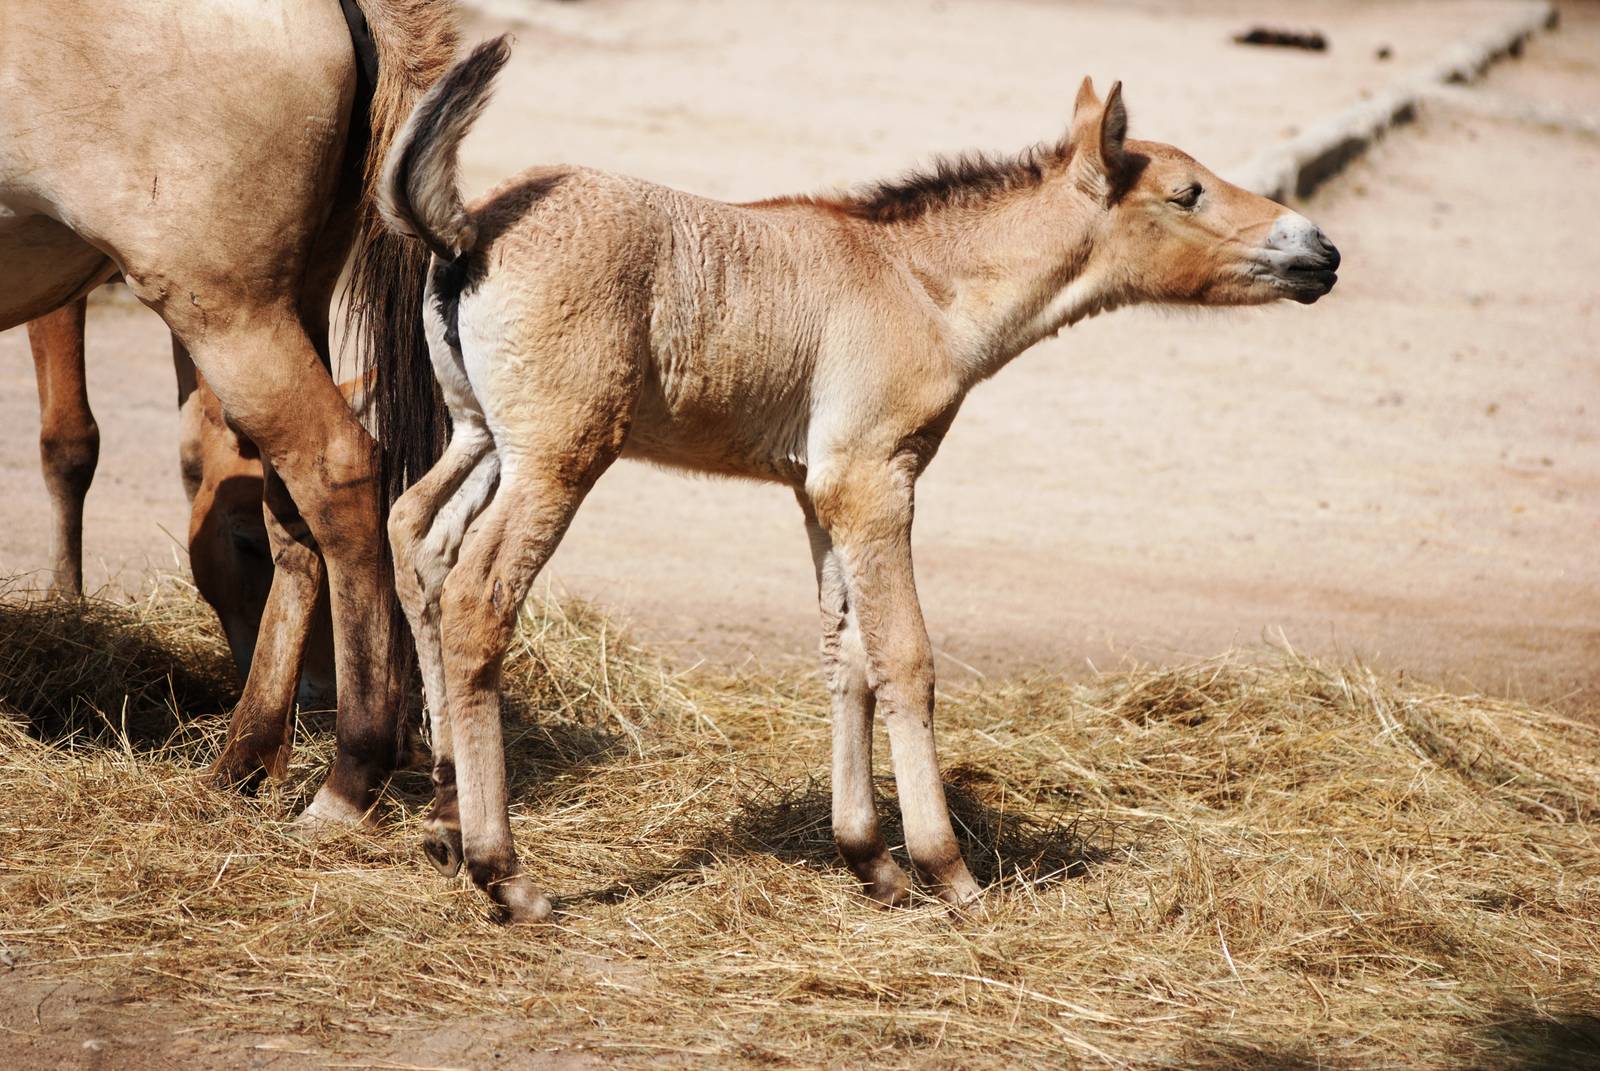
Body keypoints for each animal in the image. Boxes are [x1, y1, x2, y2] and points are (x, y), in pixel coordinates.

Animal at [0, 0, 456, 818]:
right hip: (291, 298)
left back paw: (349, 777)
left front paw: (65, 604)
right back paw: (245, 755)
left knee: (337, 470)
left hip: (225, 307)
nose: (318, 695)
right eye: (237, 547)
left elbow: (67, 441)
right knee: (294, 504)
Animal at [379, 39, 1341, 921]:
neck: (918, 284)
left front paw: (869, 858)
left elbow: (846, 653)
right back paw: (504, 871)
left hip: (483, 438)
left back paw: (444, 813)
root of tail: (468, 232)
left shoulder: (818, 489)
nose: (1321, 250)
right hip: (559, 456)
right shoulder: (874, 478)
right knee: (477, 597)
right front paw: (948, 869)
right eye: (1186, 194)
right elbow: (905, 656)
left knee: (415, 537)